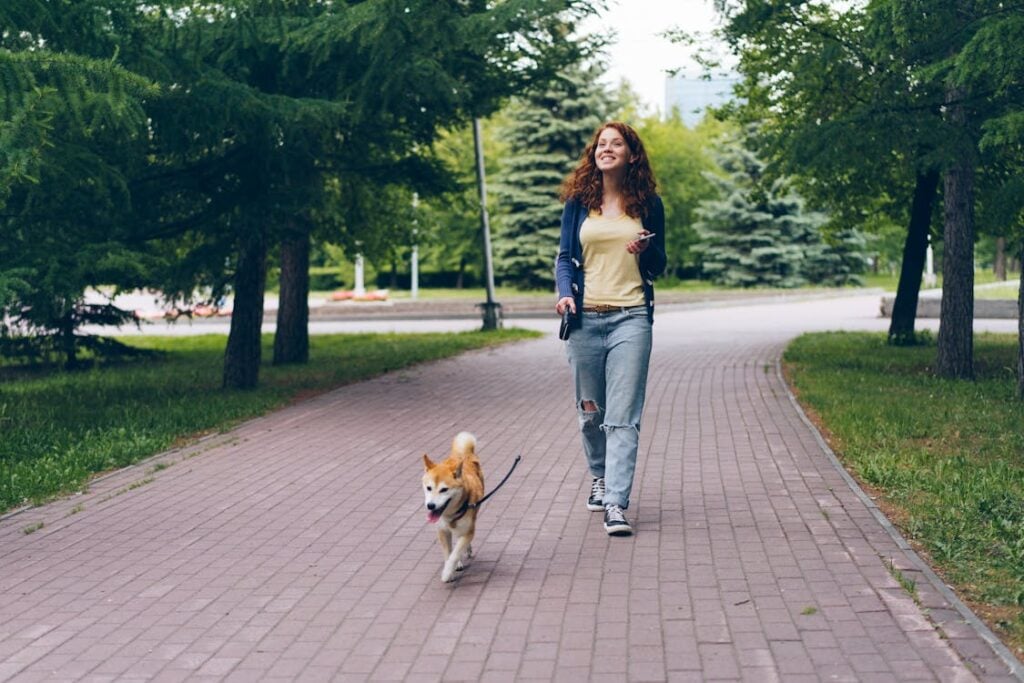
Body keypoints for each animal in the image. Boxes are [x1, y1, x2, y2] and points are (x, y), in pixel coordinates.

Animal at [425, 432, 485, 581]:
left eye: (444, 490)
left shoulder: (468, 531)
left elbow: (455, 553)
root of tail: (461, 455)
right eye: (428, 488)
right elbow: (448, 553)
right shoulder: (442, 530)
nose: (430, 505)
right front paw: (451, 569)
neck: (450, 514)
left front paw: (447, 573)